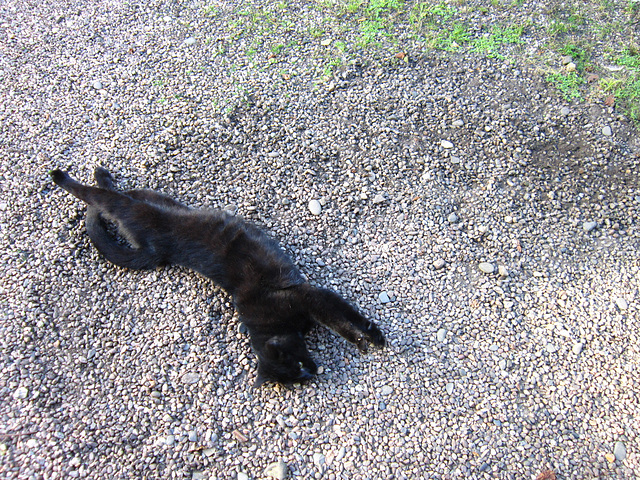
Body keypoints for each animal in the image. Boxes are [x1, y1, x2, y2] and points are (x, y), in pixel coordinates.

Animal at [51, 169, 384, 386]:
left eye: (299, 365)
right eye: (297, 374)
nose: (312, 372)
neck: (274, 325)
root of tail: (157, 248)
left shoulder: (306, 296)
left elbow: (341, 318)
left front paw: (371, 337)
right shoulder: (307, 301)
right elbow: (338, 318)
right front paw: (365, 339)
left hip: (140, 206)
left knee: (102, 197)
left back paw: (64, 175)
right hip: (148, 201)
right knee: (109, 195)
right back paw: (98, 174)